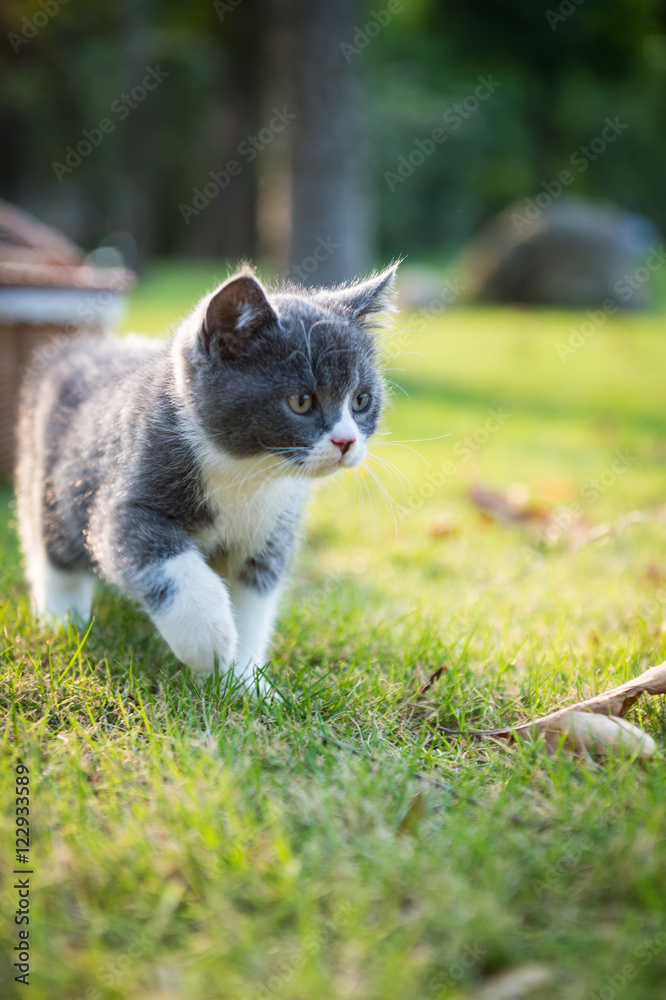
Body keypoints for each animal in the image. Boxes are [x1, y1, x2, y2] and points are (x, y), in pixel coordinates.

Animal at [15, 262, 396, 692]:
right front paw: (208, 638)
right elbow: (162, 559)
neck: (247, 471)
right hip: (51, 475)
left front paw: (242, 681)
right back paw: (61, 621)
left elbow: (254, 602)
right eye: (301, 401)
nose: (346, 441)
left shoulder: (272, 531)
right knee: (52, 548)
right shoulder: (123, 501)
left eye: (361, 400)